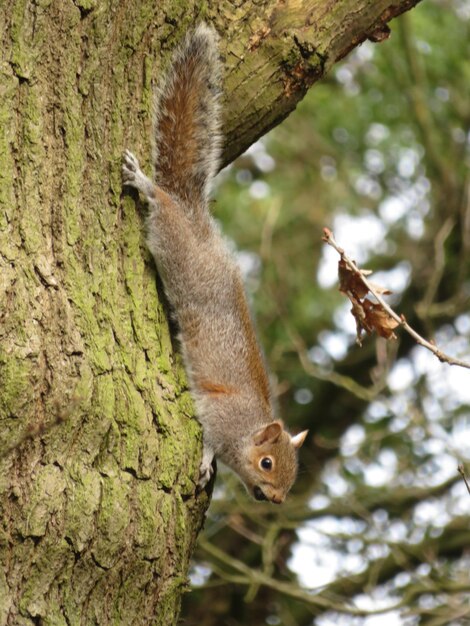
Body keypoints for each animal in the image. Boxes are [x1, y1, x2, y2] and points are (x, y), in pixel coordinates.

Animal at [120, 24, 308, 502]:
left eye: (293, 474)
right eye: (266, 463)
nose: (276, 499)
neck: (246, 428)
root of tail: (194, 217)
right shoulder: (217, 417)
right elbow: (206, 440)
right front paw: (206, 464)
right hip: (173, 242)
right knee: (161, 203)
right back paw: (144, 183)